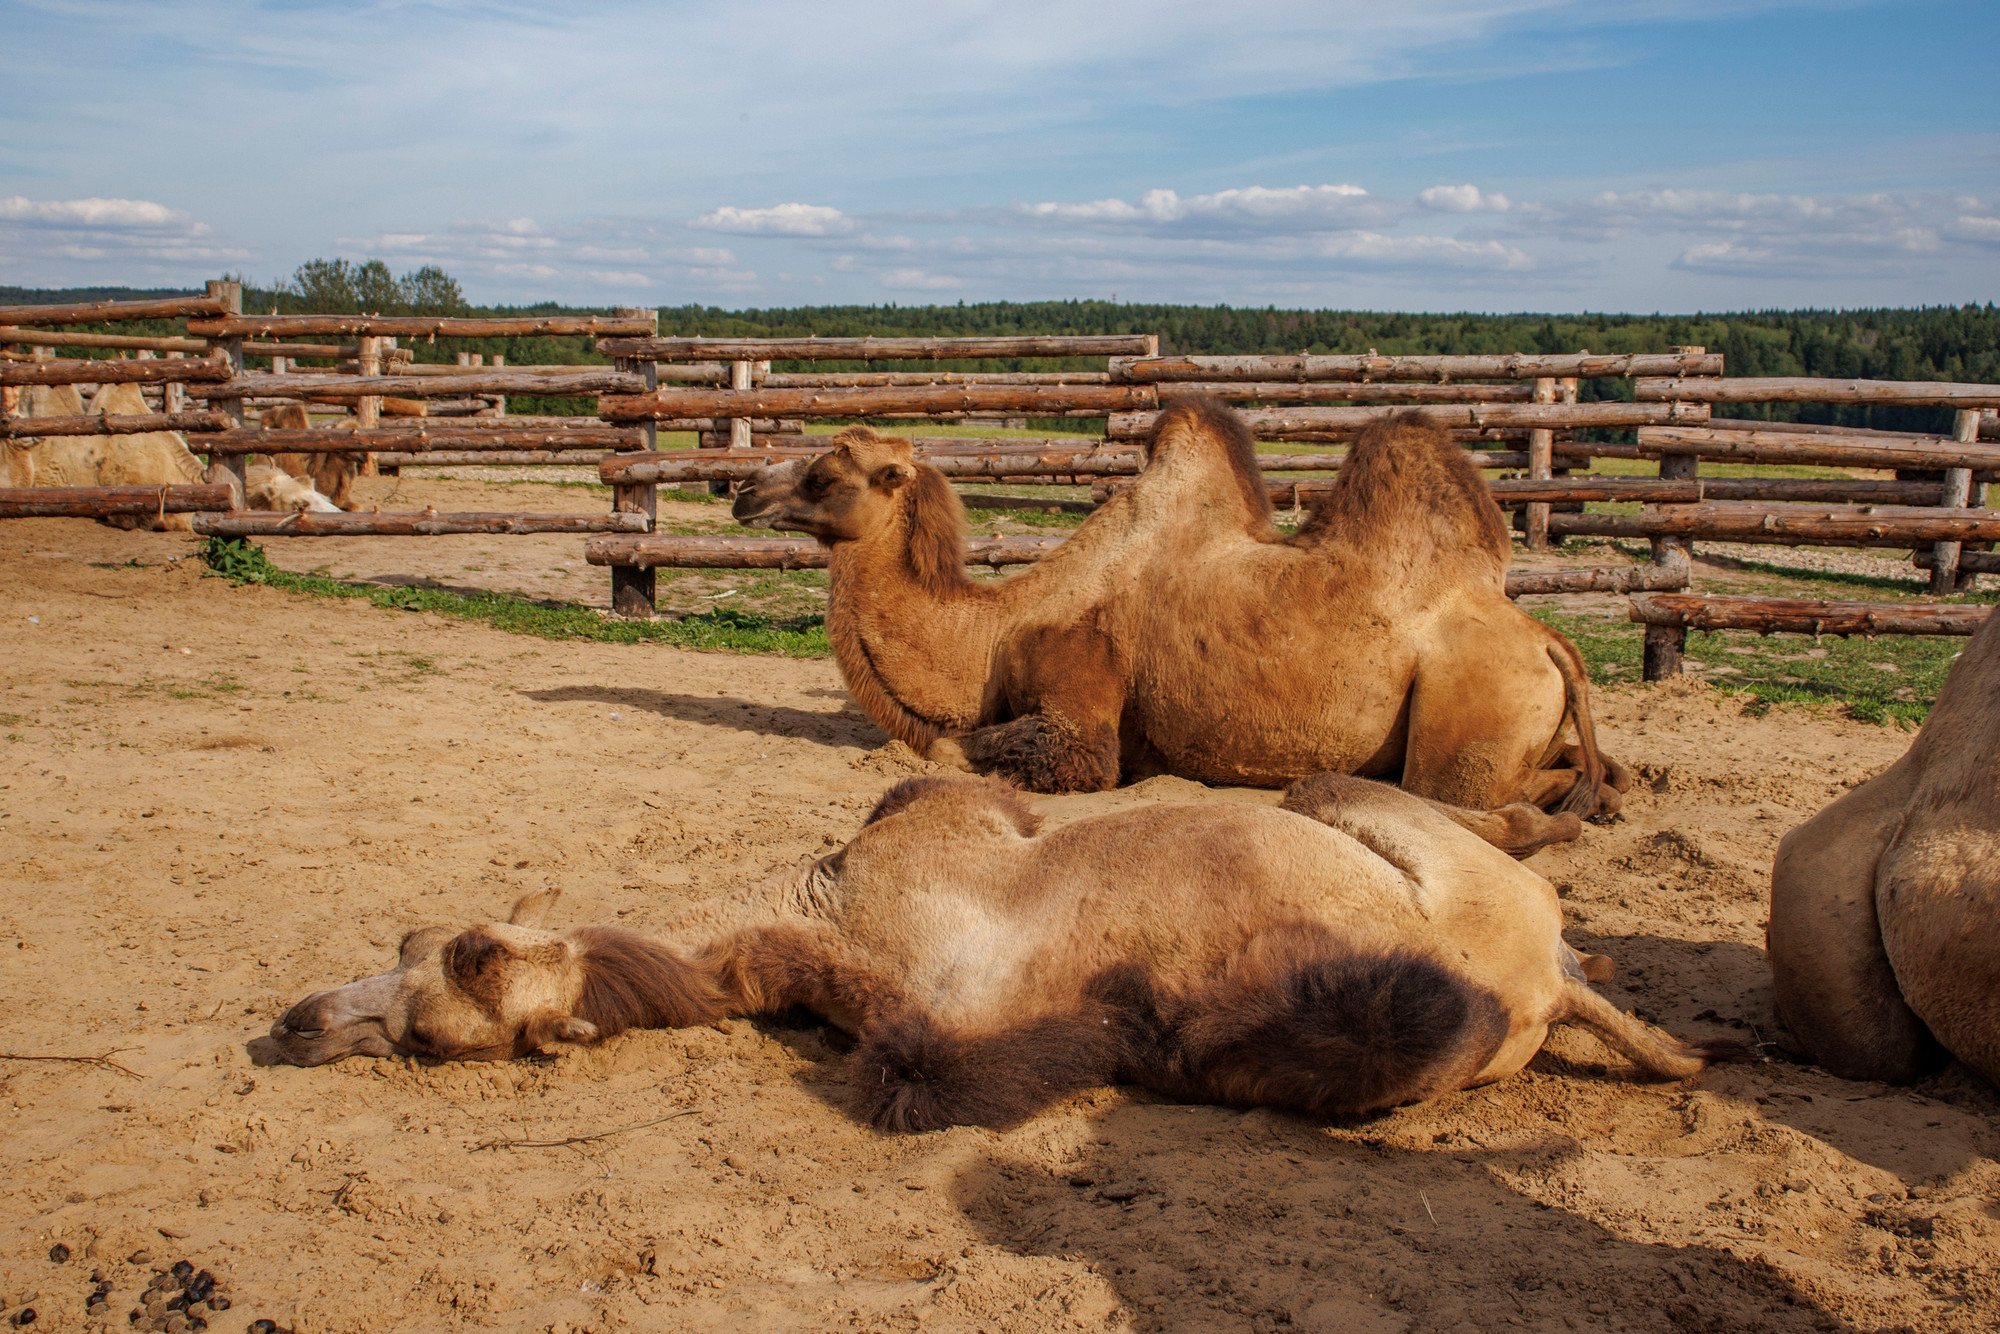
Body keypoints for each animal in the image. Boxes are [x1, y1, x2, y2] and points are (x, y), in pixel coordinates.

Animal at [732, 400, 1624, 816]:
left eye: (823, 473)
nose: (742, 490)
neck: (994, 631)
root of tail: (1549, 640)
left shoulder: (1079, 702)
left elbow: (964, 749)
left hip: (1470, 718)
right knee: (1586, 766)